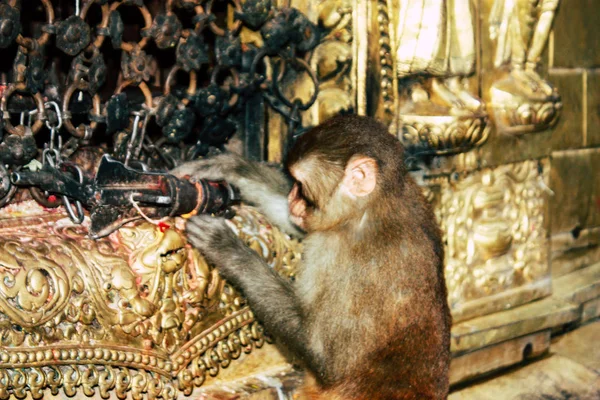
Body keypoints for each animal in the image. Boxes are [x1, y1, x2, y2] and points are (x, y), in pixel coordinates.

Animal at [173, 115, 450, 400]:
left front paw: (226, 247)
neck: (370, 207)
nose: (293, 200)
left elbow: (322, 356)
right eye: (294, 186)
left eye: (302, 189)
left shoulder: (333, 250)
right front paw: (226, 166)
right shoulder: (414, 194)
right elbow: (294, 224)